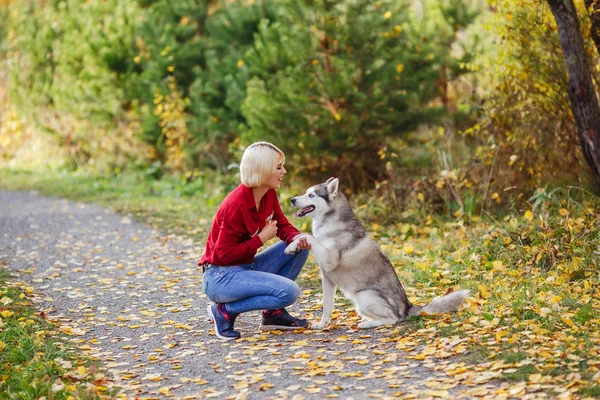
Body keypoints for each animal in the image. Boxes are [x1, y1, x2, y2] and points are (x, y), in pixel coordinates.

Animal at [286, 178, 468, 328]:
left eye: (311, 195)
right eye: (305, 192)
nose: (292, 200)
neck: (330, 222)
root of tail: (407, 306)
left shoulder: (329, 260)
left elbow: (310, 237)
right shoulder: (328, 278)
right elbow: (327, 307)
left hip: (365, 297)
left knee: (393, 319)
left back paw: (367, 324)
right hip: (360, 304)